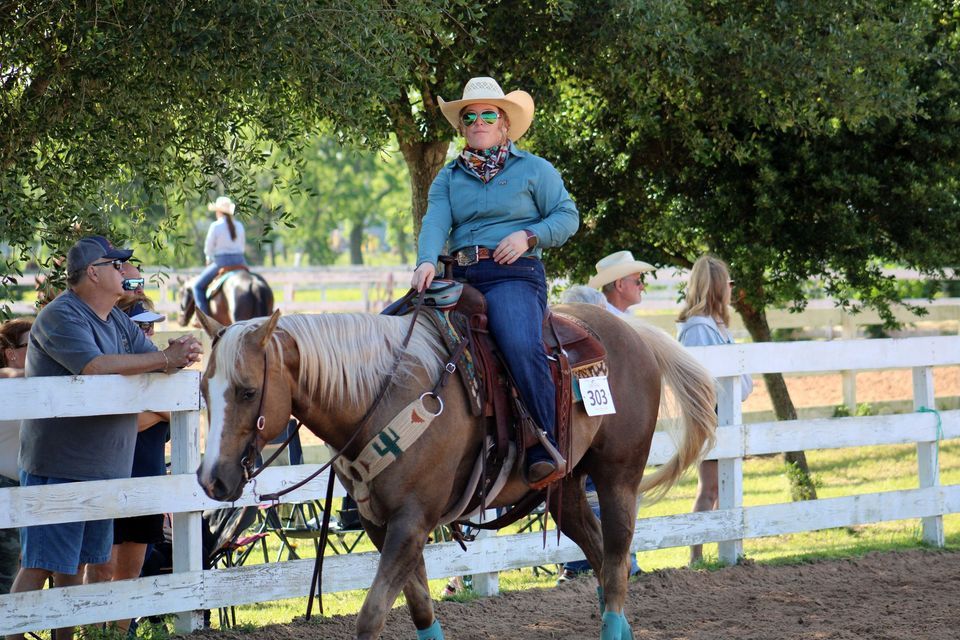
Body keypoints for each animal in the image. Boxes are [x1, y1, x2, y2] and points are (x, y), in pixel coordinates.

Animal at [195, 303, 716, 640]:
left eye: (247, 391)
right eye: (202, 388)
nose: (211, 478)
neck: (383, 396)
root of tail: (632, 332)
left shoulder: (412, 522)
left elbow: (371, 616)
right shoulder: (382, 525)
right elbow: (421, 609)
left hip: (618, 478)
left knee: (617, 563)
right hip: (567, 487)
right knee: (600, 557)